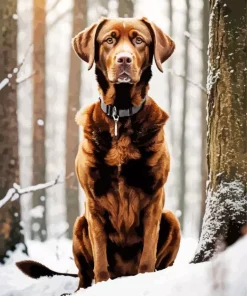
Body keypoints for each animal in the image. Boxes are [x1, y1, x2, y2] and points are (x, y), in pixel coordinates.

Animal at [16, 17, 180, 292]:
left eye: (139, 40)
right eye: (109, 40)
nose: (124, 59)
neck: (121, 115)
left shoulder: (154, 197)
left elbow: (148, 252)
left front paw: (145, 277)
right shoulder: (93, 202)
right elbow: (100, 257)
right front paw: (102, 284)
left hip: (171, 219)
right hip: (79, 224)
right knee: (84, 273)